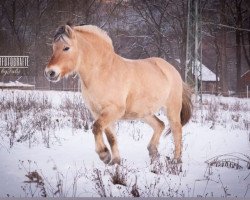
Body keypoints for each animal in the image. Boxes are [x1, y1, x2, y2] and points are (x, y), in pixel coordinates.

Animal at [45, 23, 192, 165]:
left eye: (66, 48)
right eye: (53, 48)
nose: (50, 72)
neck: (102, 72)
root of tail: (172, 69)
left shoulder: (113, 110)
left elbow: (96, 127)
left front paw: (104, 155)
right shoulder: (97, 112)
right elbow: (110, 137)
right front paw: (115, 161)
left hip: (171, 109)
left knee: (176, 130)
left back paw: (176, 161)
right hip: (143, 113)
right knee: (160, 125)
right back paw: (153, 153)